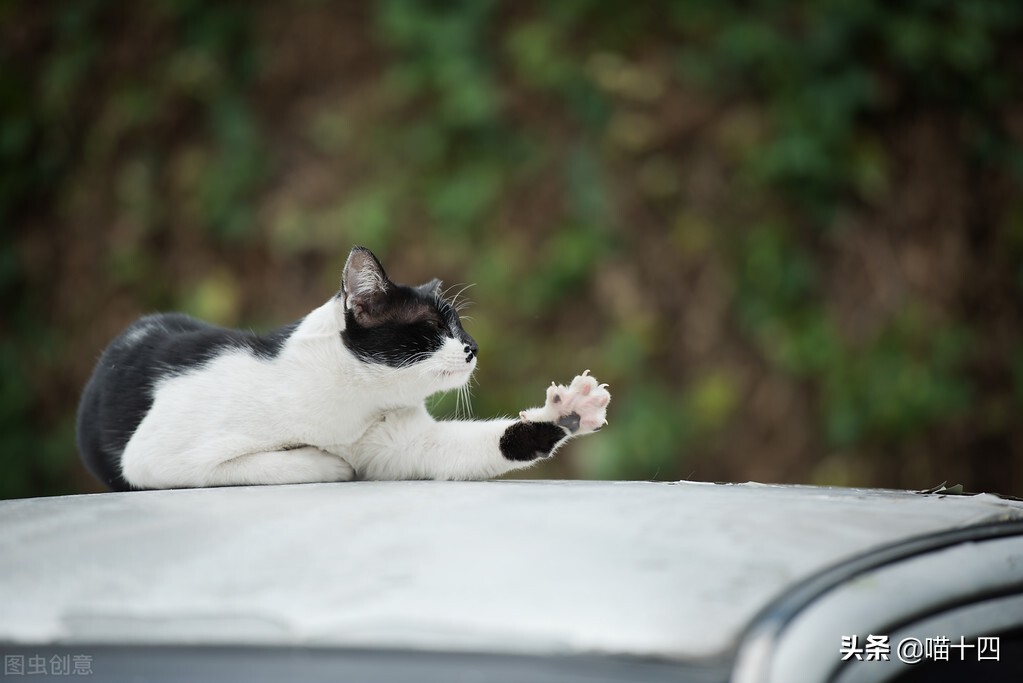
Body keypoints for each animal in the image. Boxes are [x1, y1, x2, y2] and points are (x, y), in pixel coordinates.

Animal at [75, 245, 609, 490]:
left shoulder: (405, 446)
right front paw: (328, 461)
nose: (473, 347)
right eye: (435, 327)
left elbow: (492, 442)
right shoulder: (154, 457)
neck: (348, 409)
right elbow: (266, 464)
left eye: (462, 326)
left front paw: (570, 411)